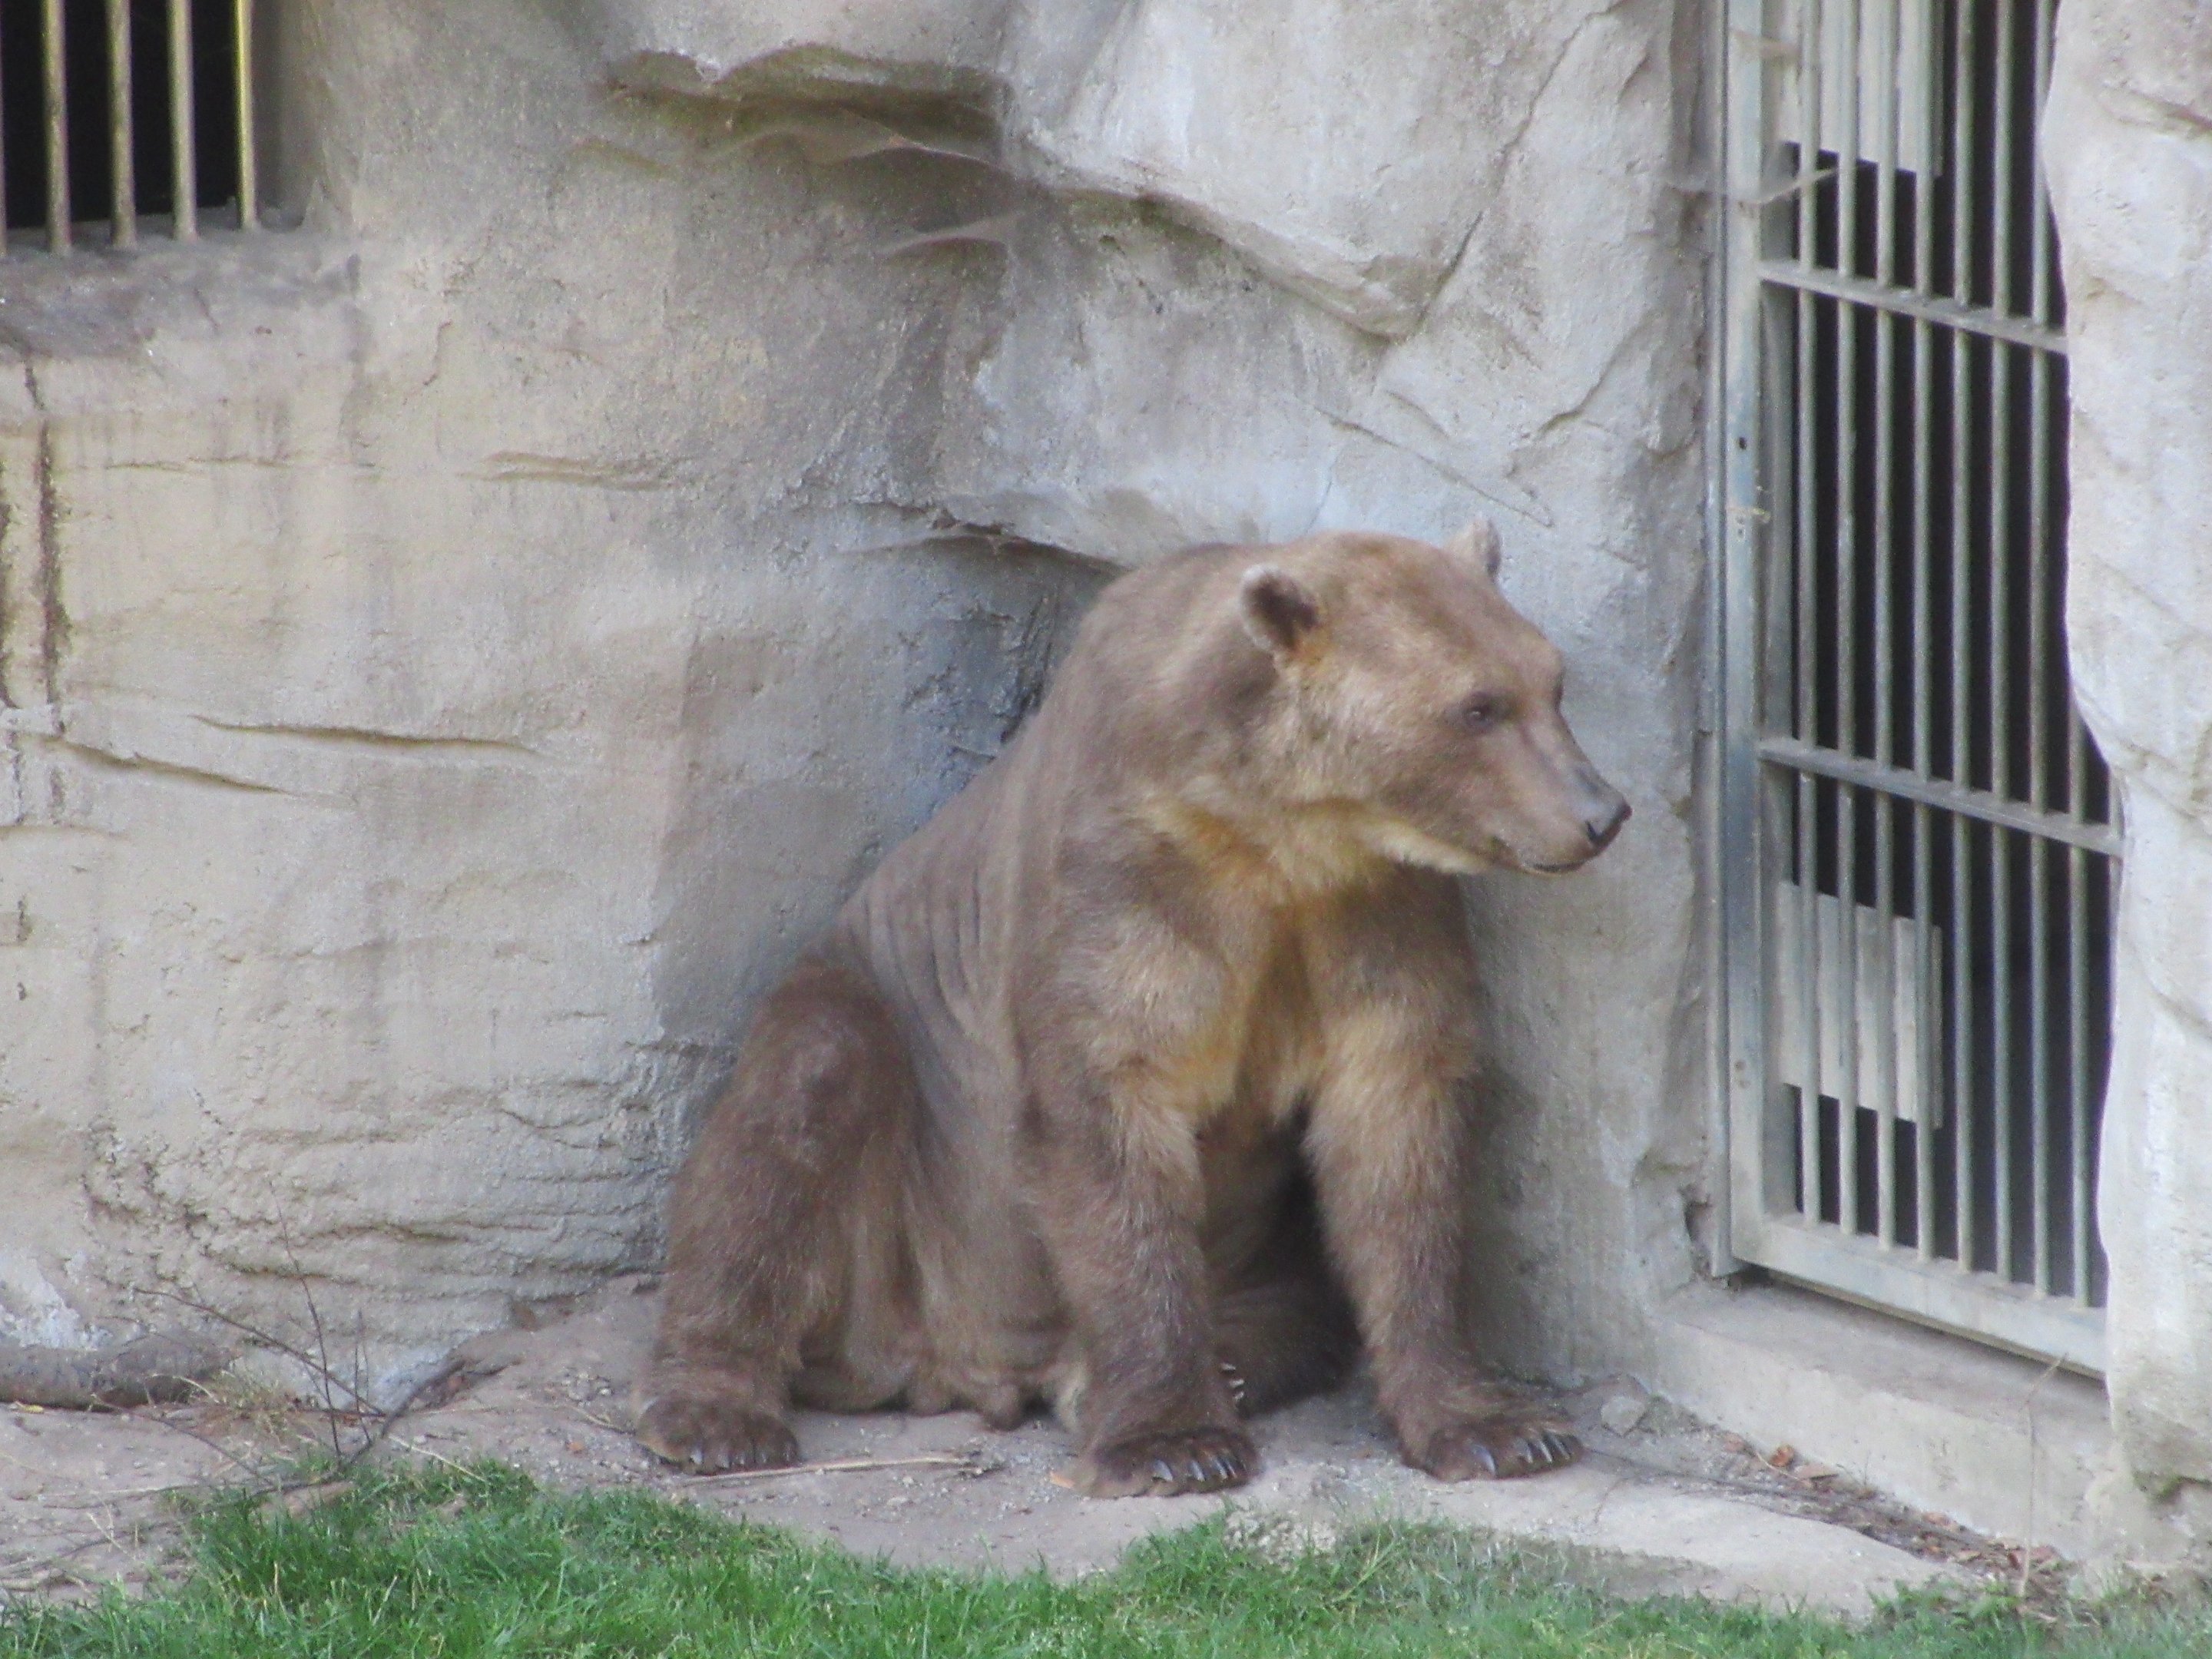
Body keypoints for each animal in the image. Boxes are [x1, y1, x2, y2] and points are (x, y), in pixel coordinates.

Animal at [636, 522, 1628, 1496]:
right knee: (791, 1115)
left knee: (1297, 1290)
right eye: (1478, 707)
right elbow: (1108, 1125)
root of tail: (961, 1365)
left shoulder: (1373, 913)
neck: (1280, 833)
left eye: (1551, 682)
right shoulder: (1126, 881)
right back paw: (717, 1413)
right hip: (890, 1134)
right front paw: (1174, 1442)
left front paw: (1496, 1427)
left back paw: (1231, 1361)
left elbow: (1398, 1142)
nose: (1601, 812)